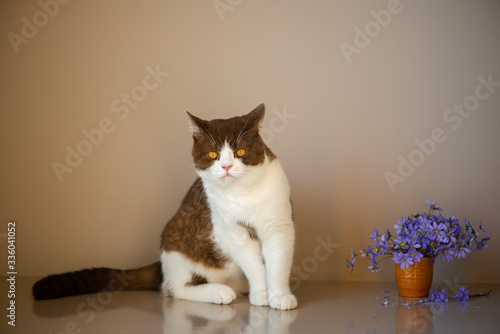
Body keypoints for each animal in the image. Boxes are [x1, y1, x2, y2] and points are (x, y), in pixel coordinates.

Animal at [33, 103, 298, 310]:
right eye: (213, 155)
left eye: (240, 151)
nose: (226, 167)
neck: (243, 194)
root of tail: (161, 262)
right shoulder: (233, 231)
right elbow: (254, 264)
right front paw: (261, 294)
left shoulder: (279, 224)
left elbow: (278, 261)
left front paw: (280, 296)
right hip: (179, 244)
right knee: (174, 288)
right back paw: (218, 291)